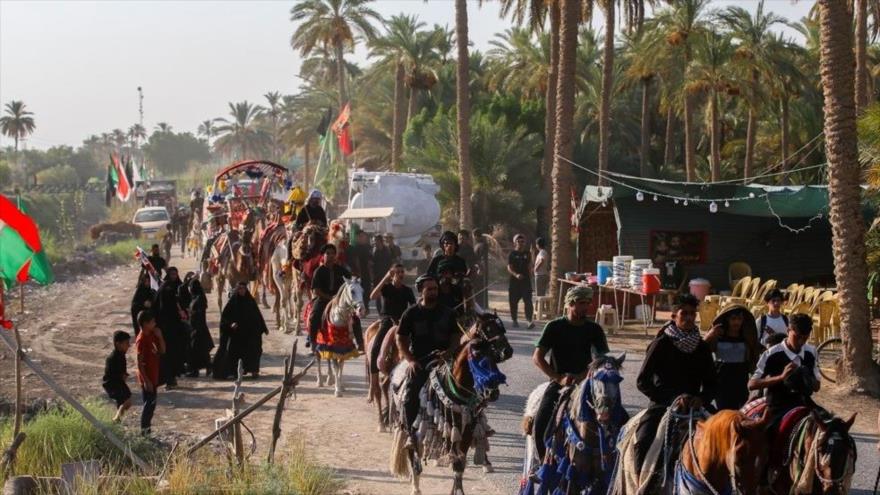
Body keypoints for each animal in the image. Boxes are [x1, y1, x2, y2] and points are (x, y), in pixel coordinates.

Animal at [388, 314, 512, 495]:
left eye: (492, 356)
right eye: (476, 354)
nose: (492, 391)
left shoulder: (466, 431)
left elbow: (459, 463)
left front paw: (458, 490)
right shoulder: (450, 430)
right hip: (409, 424)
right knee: (412, 453)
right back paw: (415, 486)